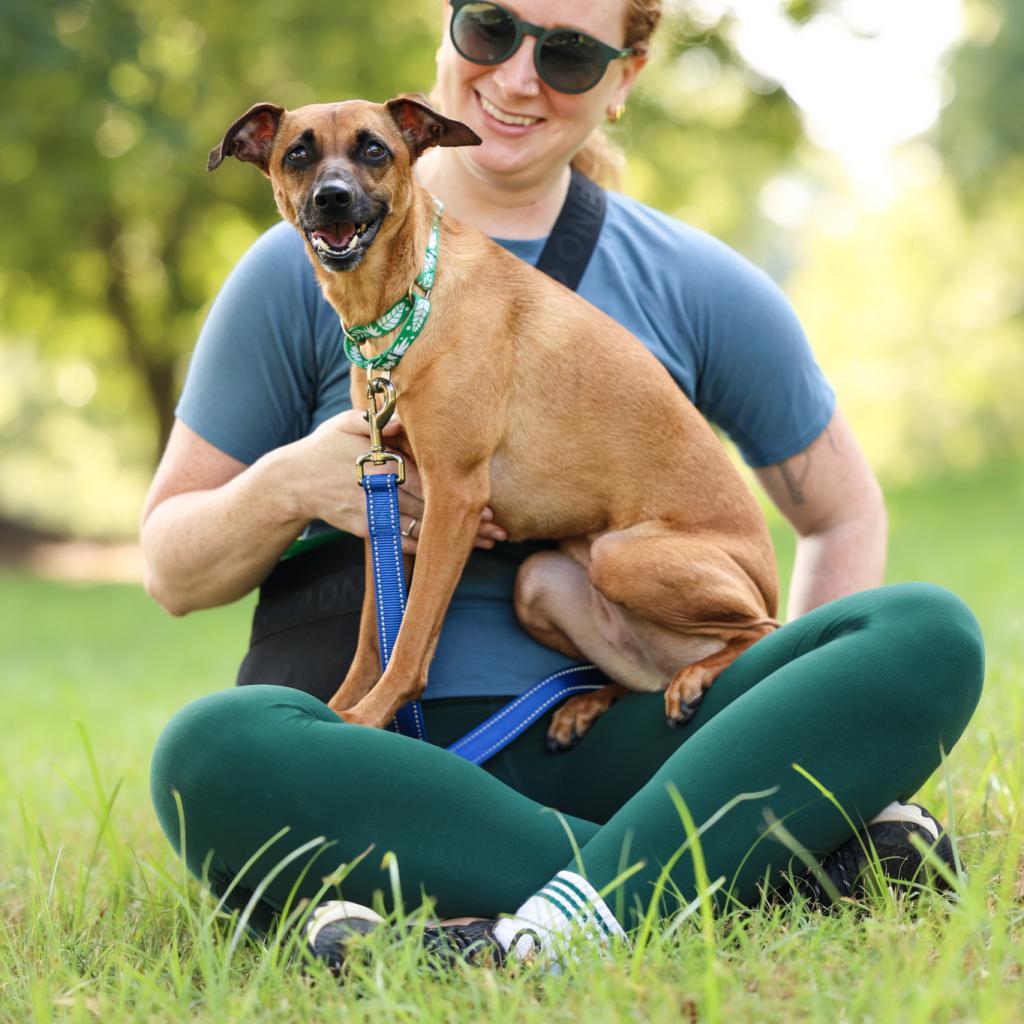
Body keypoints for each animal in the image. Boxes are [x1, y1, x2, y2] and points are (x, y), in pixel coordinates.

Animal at [211, 94, 778, 745]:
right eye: (297, 154)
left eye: (373, 149)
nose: (332, 197)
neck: (408, 303)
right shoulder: (391, 499)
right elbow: (373, 636)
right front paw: (342, 706)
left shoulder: (454, 495)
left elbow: (410, 636)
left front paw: (369, 716)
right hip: (538, 584)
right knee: (636, 673)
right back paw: (587, 704)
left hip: (623, 557)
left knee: (762, 630)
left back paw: (695, 676)